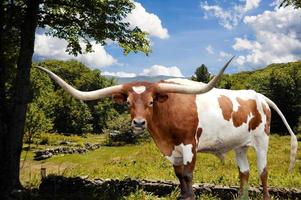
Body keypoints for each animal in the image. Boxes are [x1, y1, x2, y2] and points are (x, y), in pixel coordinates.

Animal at [36, 57, 296, 199]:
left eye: (152, 102)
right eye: (128, 103)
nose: (139, 123)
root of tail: (259, 96)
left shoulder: (189, 145)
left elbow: (189, 177)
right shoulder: (172, 151)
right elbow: (179, 177)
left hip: (262, 141)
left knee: (263, 172)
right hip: (240, 145)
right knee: (244, 172)